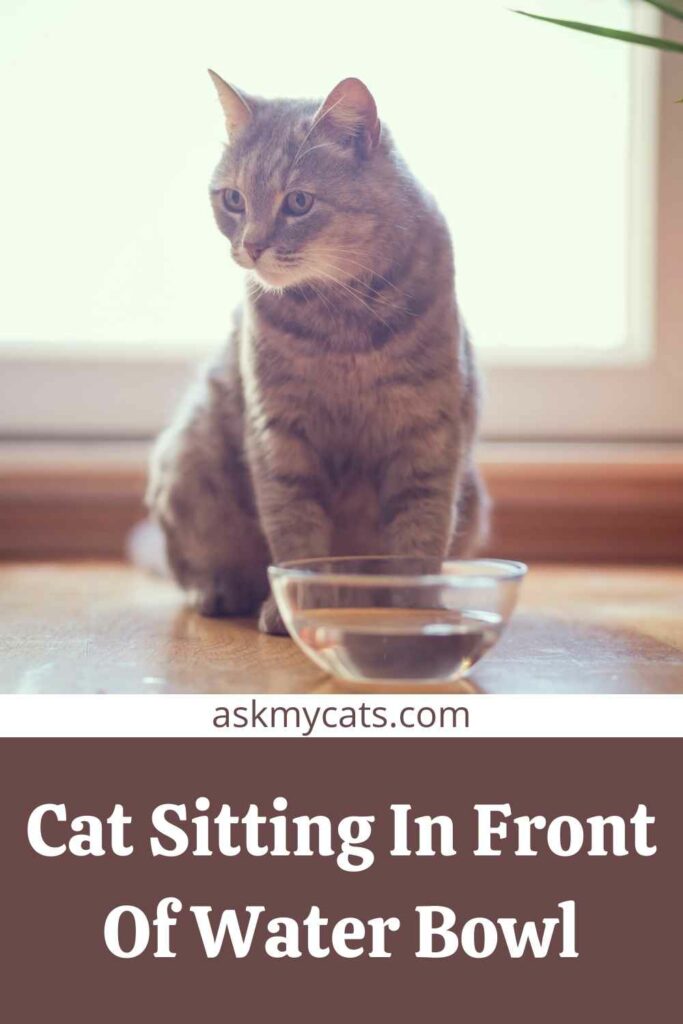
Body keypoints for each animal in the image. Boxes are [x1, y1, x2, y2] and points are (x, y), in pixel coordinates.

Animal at [147, 74, 489, 630]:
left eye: (299, 203)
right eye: (234, 199)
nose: (251, 246)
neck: (340, 318)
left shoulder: (428, 433)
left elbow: (420, 533)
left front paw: (416, 608)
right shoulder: (278, 430)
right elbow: (294, 530)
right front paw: (297, 606)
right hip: (188, 455)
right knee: (203, 569)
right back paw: (219, 592)